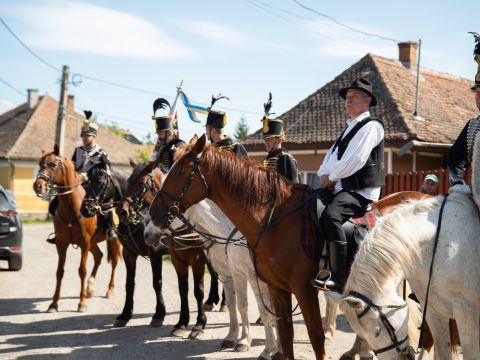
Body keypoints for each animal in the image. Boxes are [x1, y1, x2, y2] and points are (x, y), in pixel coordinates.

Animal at [32, 143, 121, 312]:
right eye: (40, 164)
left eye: (53, 165)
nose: (38, 186)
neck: (72, 208)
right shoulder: (61, 244)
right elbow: (59, 272)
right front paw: (54, 303)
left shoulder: (84, 243)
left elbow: (82, 270)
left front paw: (82, 303)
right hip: (93, 243)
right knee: (99, 256)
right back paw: (90, 289)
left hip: (113, 241)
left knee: (114, 262)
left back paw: (110, 290)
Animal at [80, 165, 167, 328]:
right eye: (87, 182)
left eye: (100, 180)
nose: (85, 209)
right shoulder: (129, 254)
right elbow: (129, 284)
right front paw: (125, 314)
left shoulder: (155, 254)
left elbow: (157, 282)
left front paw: (159, 314)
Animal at [117, 160, 207, 340]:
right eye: (129, 180)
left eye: (142, 183)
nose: (122, 211)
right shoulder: (131, 254)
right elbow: (130, 283)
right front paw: (125, 314)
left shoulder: (195, 258)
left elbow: (195, 290)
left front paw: (198, 324)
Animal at [150, 136, 328, 360]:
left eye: (179, 172)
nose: (152, 216)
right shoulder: (231, 273)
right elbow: (238, 305)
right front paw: (239, 338)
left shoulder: (253, 276)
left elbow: (259, 309)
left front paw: (262, 346)